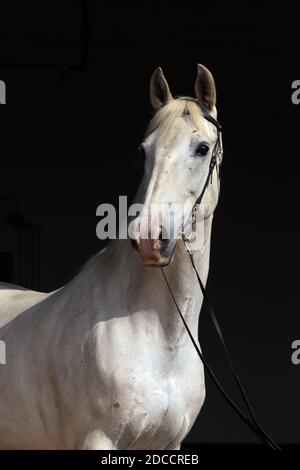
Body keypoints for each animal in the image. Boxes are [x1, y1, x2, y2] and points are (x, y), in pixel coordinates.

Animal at [0, 64, 221, 450]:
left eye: (202, 148)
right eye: (143, 151)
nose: (148, 238)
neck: (158, 335)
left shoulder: (169, 445)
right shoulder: (97, 439)